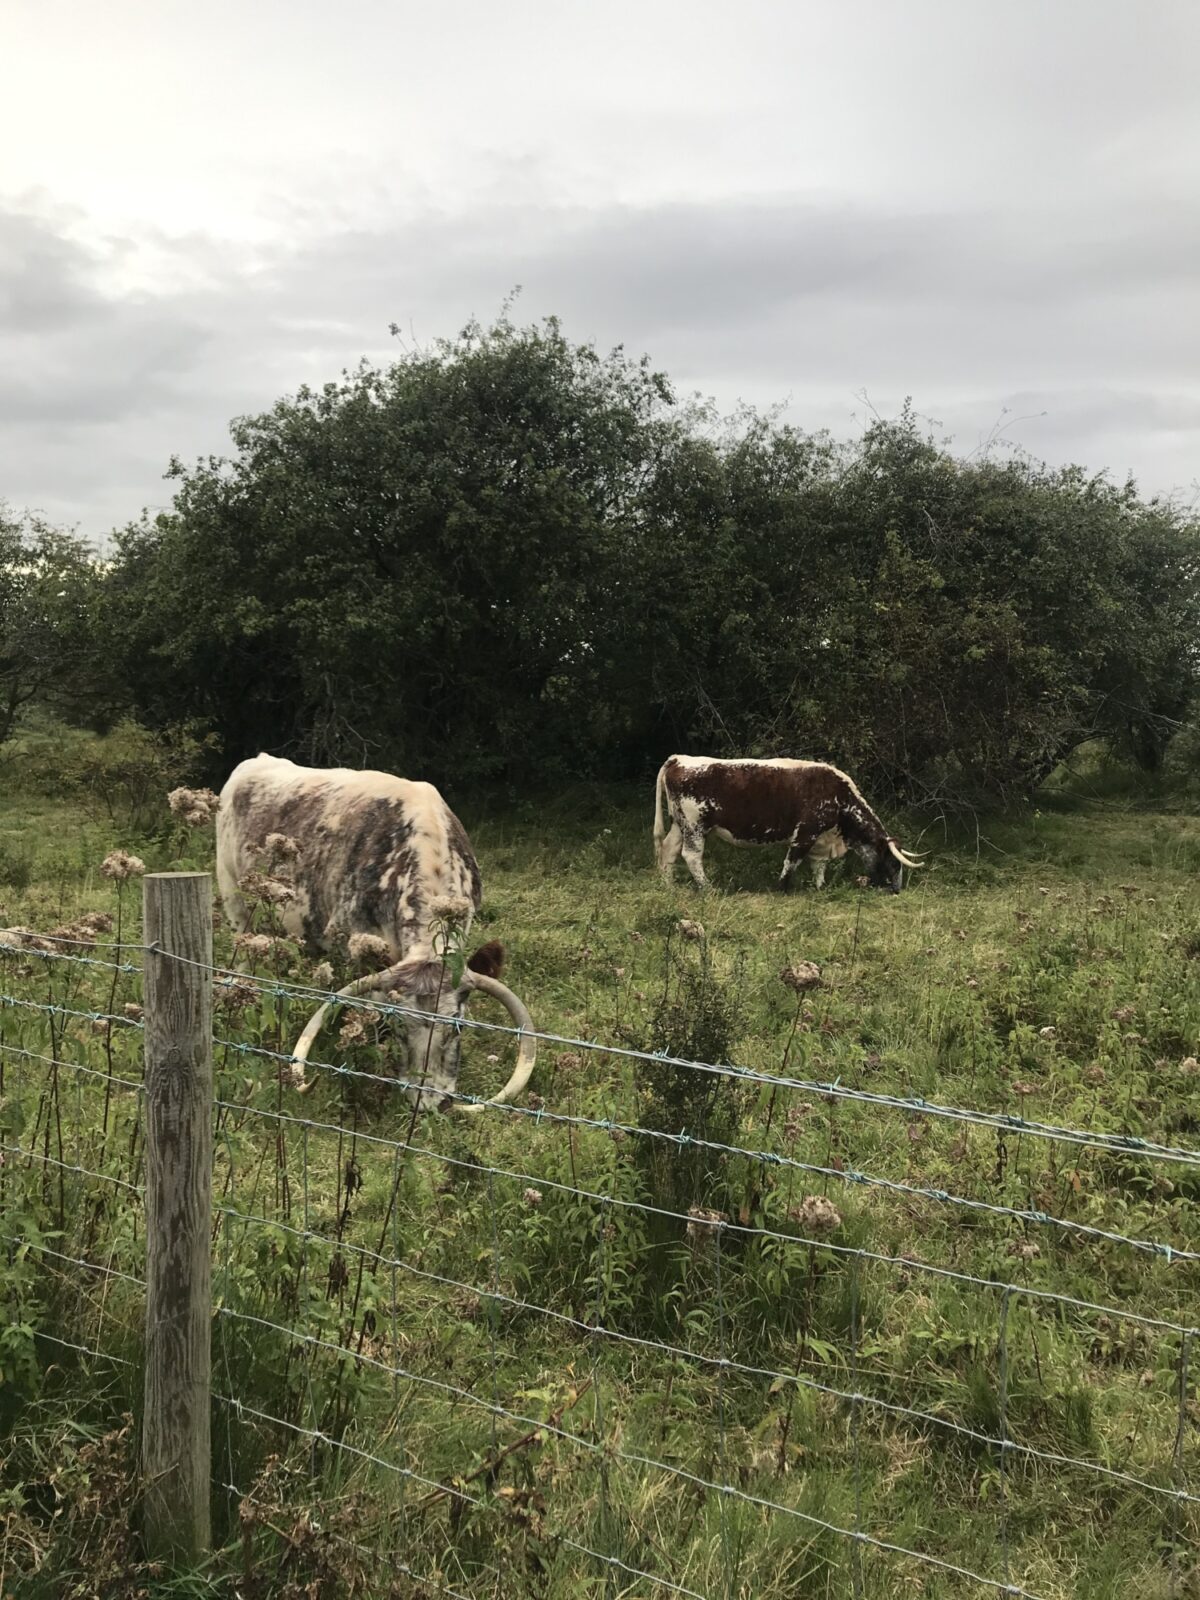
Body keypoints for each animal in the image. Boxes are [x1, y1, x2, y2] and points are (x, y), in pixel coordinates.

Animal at [659, 755, 928, 896]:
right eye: (893, 863)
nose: (897, 890)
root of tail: (680, 759)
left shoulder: (821, 840)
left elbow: (818, 866)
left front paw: (820, 888)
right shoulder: (805, 833)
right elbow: (791, 862)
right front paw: (782, 888)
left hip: (680, 825)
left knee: (668, 849)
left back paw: (668, 884)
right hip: (695, 827)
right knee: (691, 856)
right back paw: (708, 888)